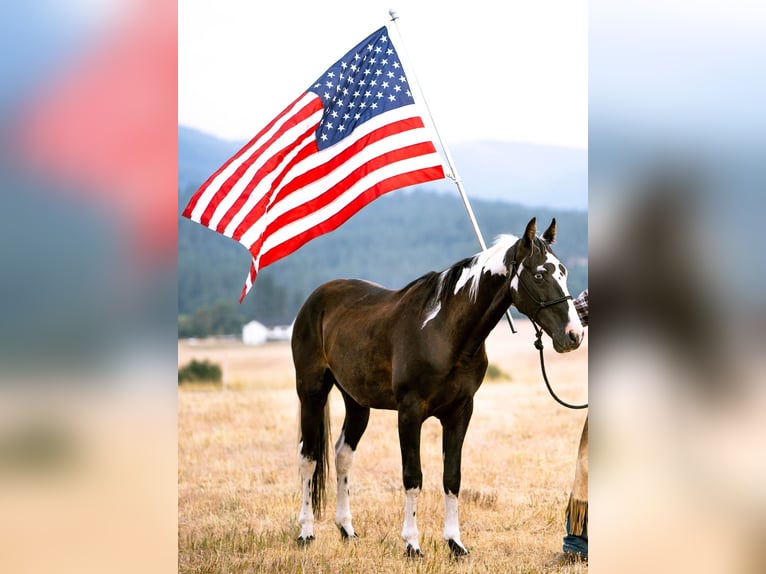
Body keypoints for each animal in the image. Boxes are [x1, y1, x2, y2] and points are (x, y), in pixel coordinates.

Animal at [292, 218, 584, 560]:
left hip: (357, 403)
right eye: (539, 275)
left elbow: (452, 477)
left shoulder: (460, 412)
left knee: (342, 456)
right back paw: (306, 532)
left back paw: (347, 530)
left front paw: (455, 543)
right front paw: (412, 544)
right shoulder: (409, 412)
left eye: (563, 271)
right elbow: (412, 476)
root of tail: (316, 297)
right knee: (308, 458)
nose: (574, 334)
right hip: (311, 392)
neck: (442, 331)